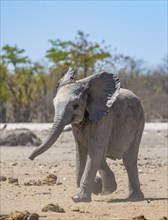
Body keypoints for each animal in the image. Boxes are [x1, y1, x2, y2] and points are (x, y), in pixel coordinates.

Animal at [28, 67, 144, 203]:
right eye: (54, 104)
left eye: (75, 106)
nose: (30, 158)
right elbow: (81, 153)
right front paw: (98, 187)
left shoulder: (105, 118)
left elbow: (94, 152)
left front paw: (78, 198)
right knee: (105, 157)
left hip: (139, 122)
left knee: (129, 160)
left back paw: (134, 197)